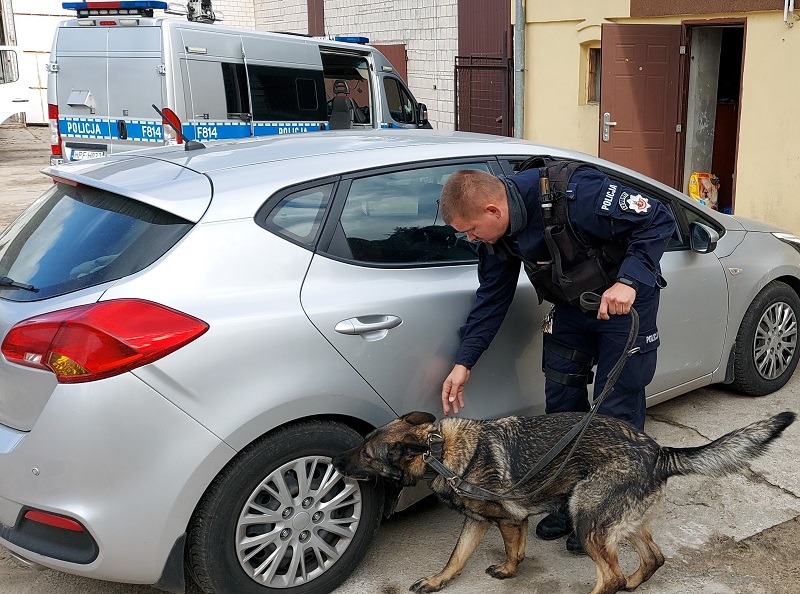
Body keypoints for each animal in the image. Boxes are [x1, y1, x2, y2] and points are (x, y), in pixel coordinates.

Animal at [332, 410, 792, 588]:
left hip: (586, 517)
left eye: (366, 454)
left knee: (611, 576)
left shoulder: (508, 519)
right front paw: (436, 581)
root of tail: (659, 452)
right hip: (620, 523)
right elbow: (456, 558)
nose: (336, 460)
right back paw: (634, 585)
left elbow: (512, 549)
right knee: (651, 559)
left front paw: (509, 570)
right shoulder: (476, 522)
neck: (440, 452)